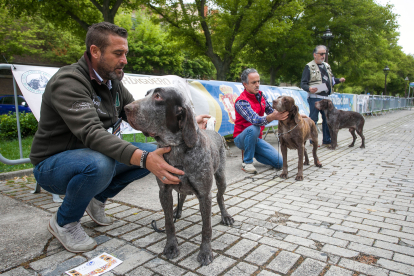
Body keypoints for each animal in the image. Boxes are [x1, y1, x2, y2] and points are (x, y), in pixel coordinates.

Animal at [123, 87, 233, 266]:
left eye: (158, 96)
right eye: (146, 94)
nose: (126, 108)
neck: (176, 149)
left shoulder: (204, 195)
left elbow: (206, 228)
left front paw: (205, 251)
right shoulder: (164, 191)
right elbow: (169, 223)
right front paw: (171, 246)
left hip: (221, 178)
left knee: (220, 197)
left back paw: (226, 216)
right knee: (182, 197)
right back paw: (178, 211)